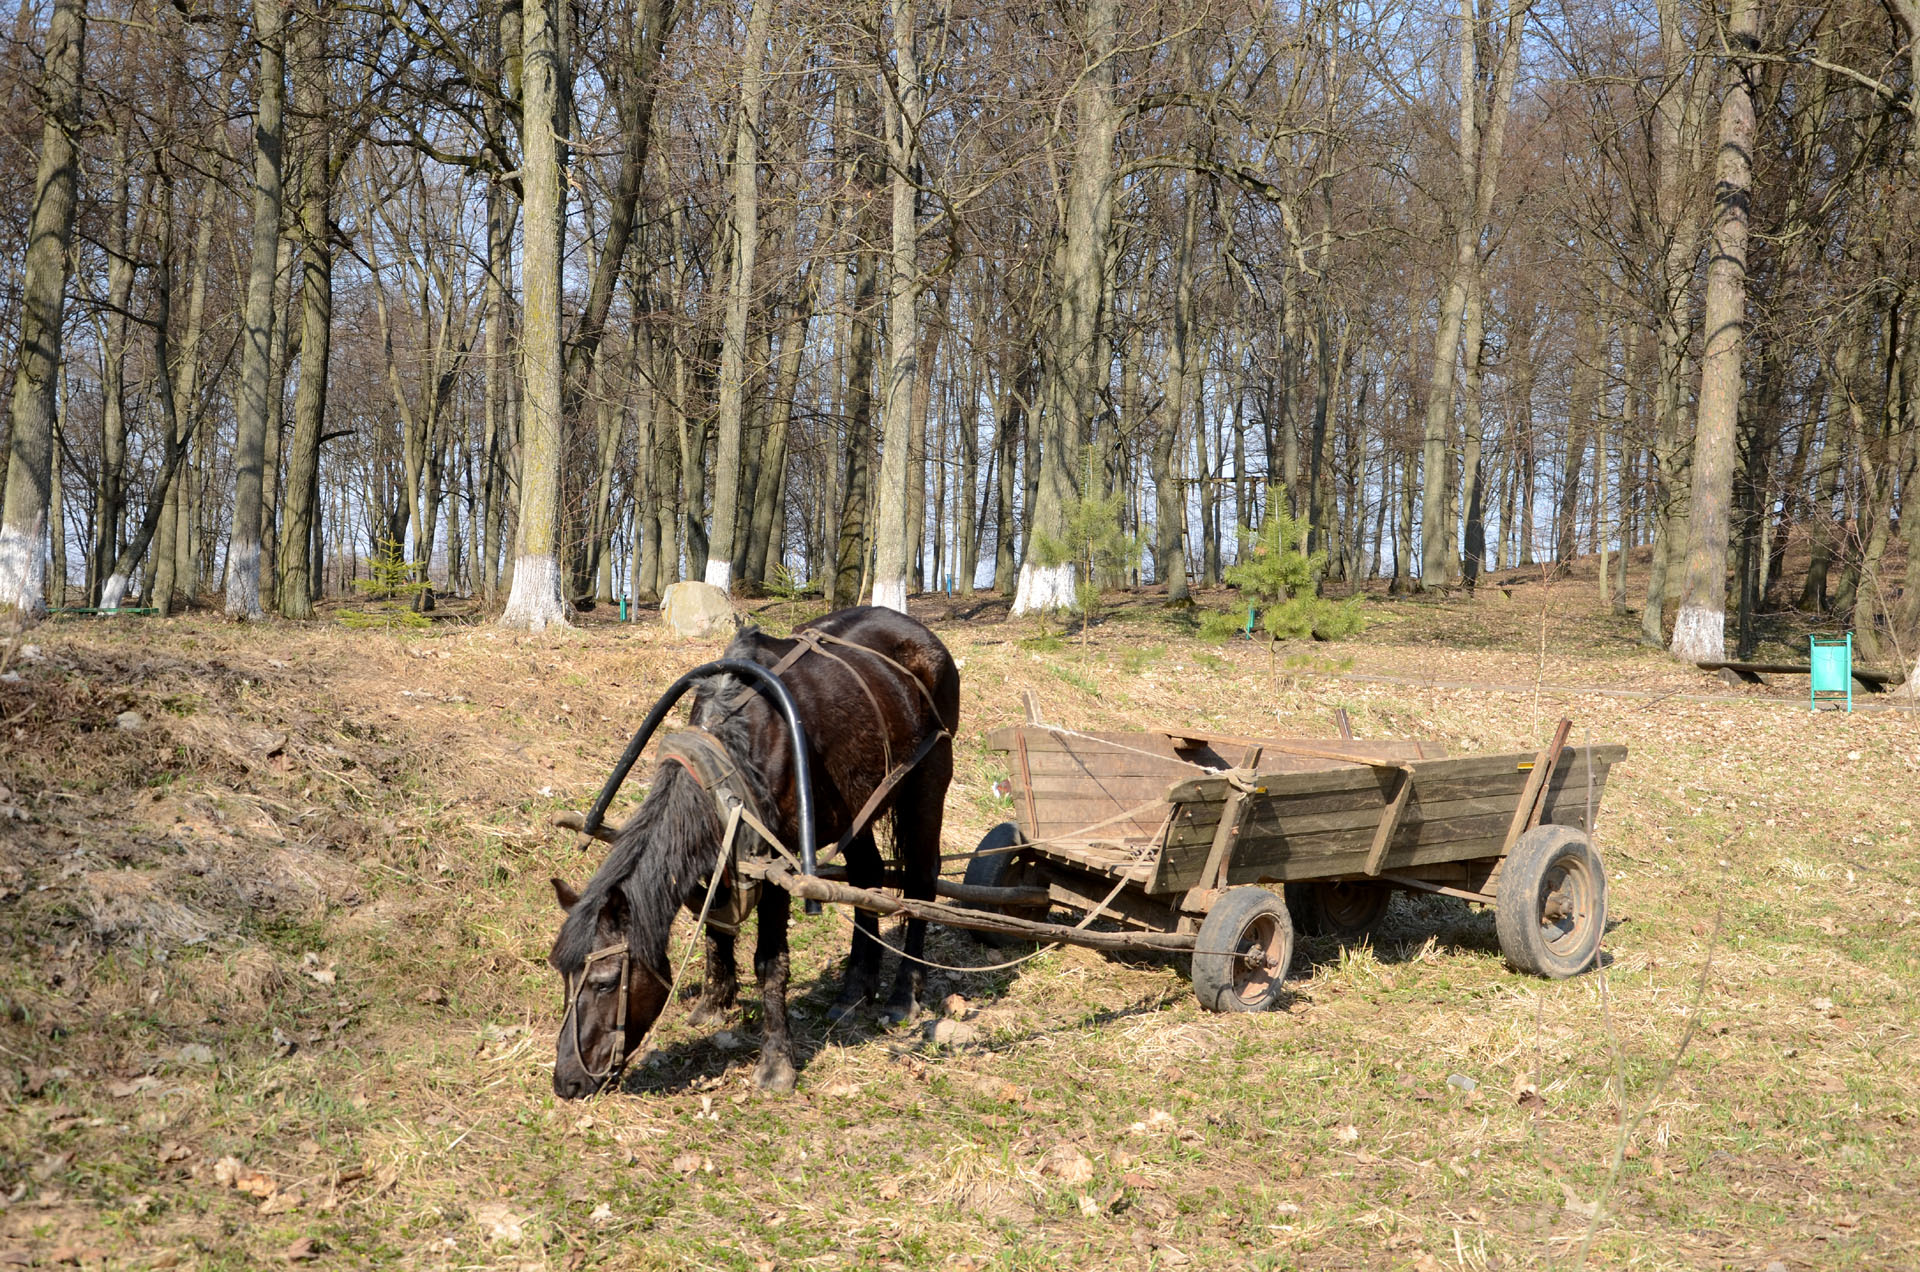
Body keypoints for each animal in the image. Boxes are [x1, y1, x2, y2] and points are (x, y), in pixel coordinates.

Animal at [545, 607, 956, 1099]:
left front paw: (776, 1062)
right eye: (562, 973)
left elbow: (770, 962)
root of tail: (918, 630)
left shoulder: (777, 866)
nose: (567, 1081)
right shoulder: (720, 852)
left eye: (605, 983)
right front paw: (714, 1002)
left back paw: (903, 994)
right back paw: (853, 991)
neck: (734, 746)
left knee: (920, 882)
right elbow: (716, 926)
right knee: (867, 877)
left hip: (928, 781)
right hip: (855, 804)